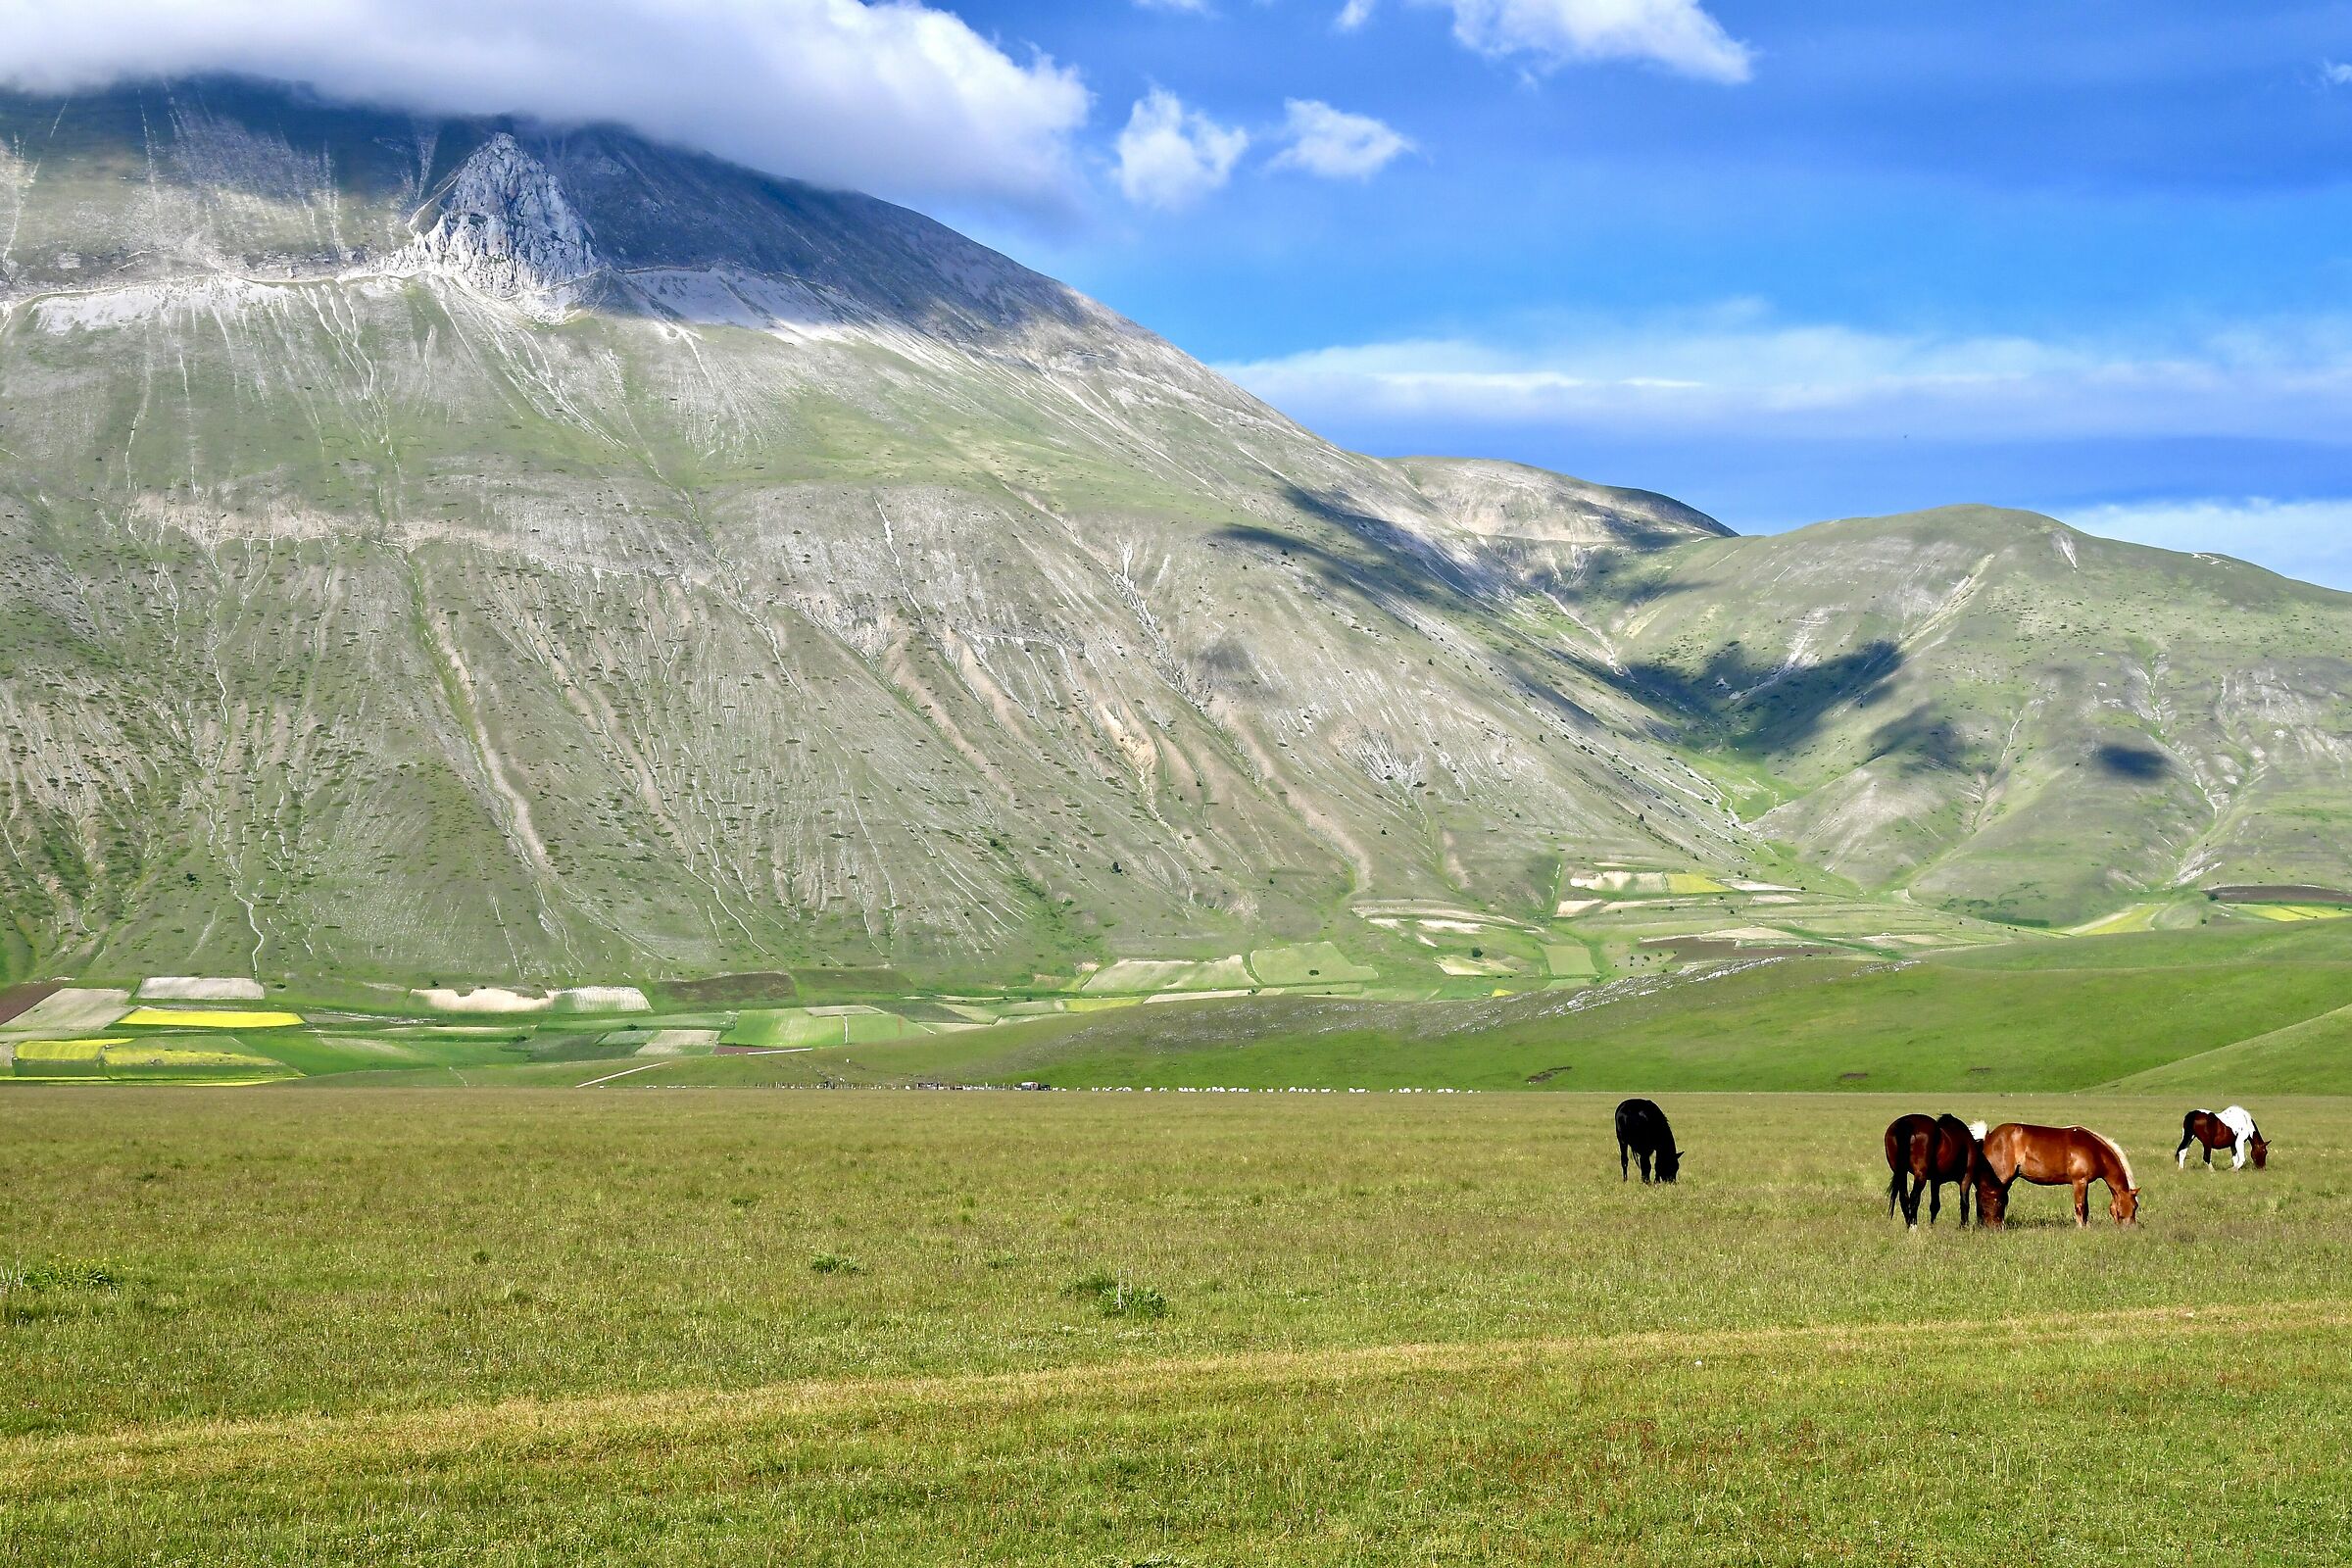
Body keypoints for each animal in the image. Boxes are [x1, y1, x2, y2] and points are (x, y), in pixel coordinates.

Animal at [1976, 1123, 2140, 1227]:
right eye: (2135, 1206)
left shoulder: (2084, 1183)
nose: (2132, 1227)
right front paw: (2082, 1228)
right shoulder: (2080, 1181)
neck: (2095, 1150)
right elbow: (2081, 1206)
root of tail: (1989, 1136)